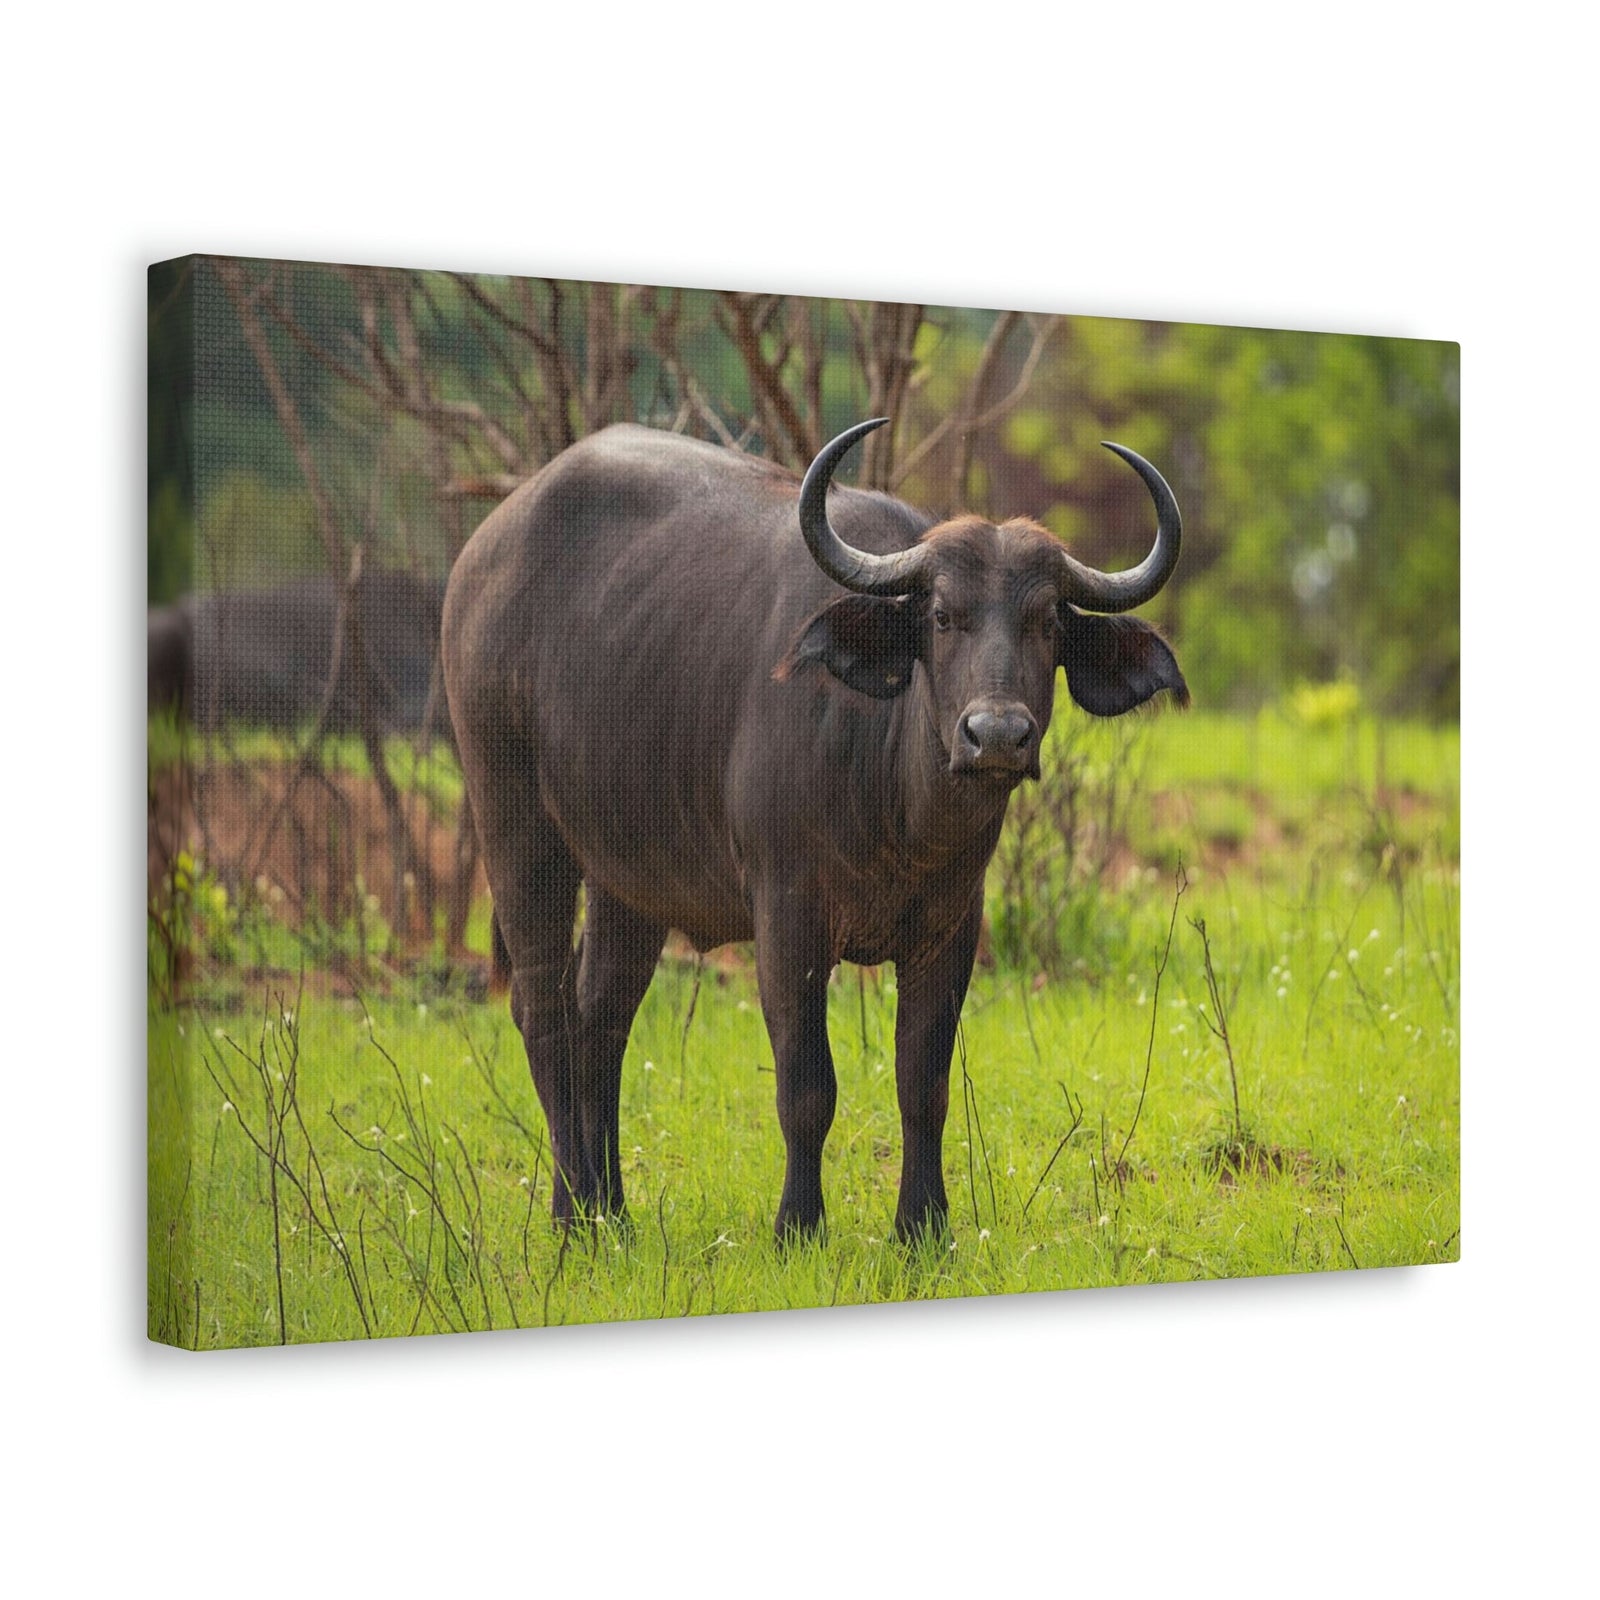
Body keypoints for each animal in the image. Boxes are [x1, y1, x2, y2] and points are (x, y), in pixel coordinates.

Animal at [442, 418, 1185, 1240]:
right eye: (941, 616)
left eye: (1048, 622)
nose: (996, 736)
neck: (900, 815)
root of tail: (483, 554)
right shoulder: (788, 918)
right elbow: (806, 1085)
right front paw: (798, 1224)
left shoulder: (952, 928)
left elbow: (923, 1082)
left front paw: (922, 1228)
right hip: (514, 822)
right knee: (541, 1011)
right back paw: (572, 1217)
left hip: (626, 878)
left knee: (599, 1015)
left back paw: (611, 1214)